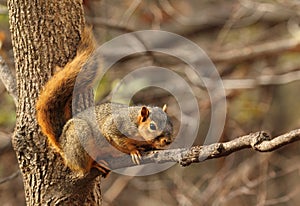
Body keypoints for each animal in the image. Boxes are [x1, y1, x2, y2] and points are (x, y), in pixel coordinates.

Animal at [35, 27, 173, 178]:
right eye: (152, 126)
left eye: (171, 123)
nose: (168, 141)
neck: (136, 123)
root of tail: (63, 146)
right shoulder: (115, 127)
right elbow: (118, 141)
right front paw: (133, 151)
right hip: (80, 139)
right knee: (83, 168)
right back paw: (95, 164)